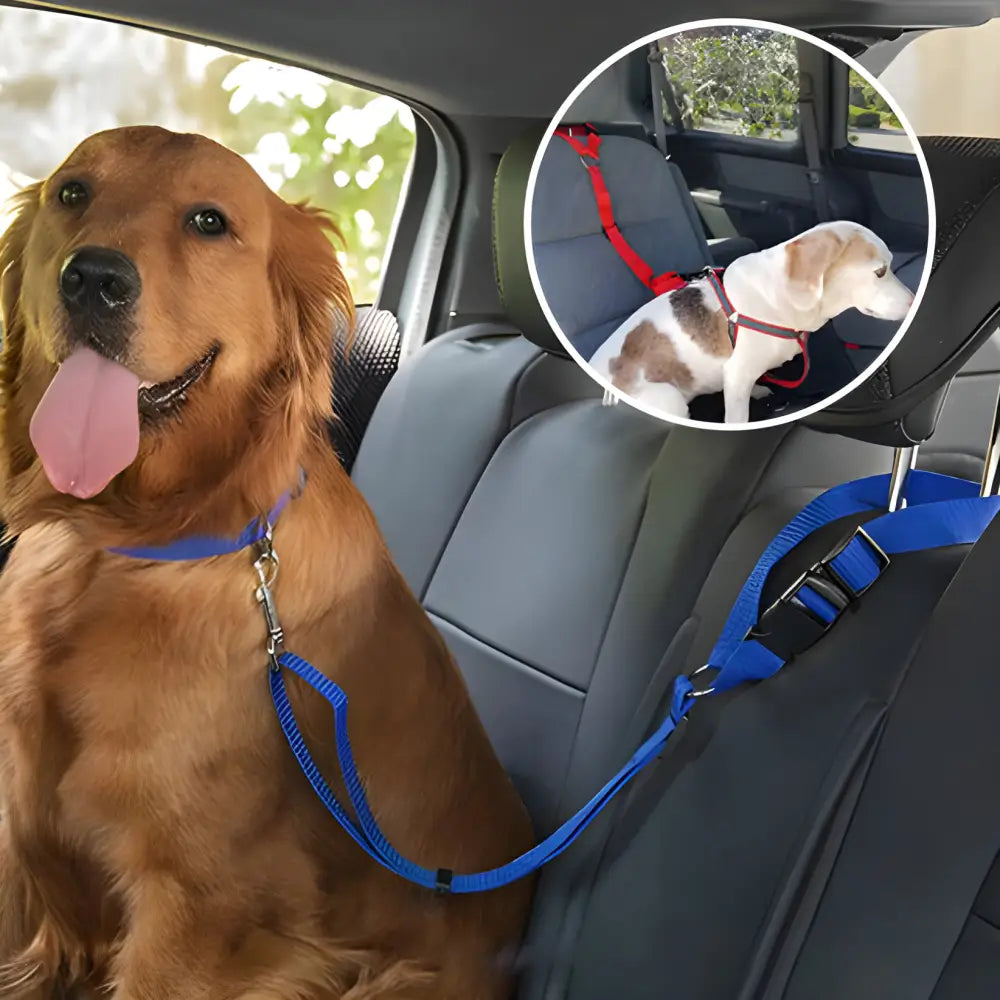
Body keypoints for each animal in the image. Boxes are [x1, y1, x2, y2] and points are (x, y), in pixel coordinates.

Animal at [588, 221, 916, 424]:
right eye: (880, 271)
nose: (914, 302)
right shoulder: (737, 373)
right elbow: (737, 415)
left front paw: (758, 389)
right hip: (669, 398)